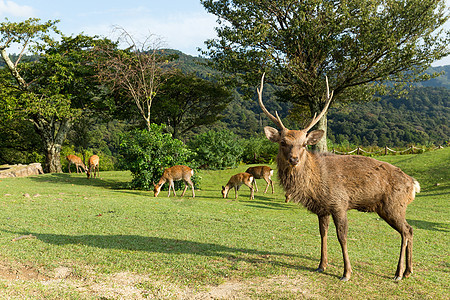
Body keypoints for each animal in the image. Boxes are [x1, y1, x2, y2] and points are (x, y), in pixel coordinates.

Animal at [258, 72, 420, 282]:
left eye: (304, 144)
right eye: (283, 142)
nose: (294, 159)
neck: (315, 185)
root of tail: (413, 185)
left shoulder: (339, 203)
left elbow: (342, 236)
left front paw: (346, 272)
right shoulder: (322, 209)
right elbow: (322, 233)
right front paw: (321, 265)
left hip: (393, 205)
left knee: (406, 231)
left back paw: (398, 273)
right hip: (390, 208)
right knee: (410, 229)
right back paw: (408, 271)